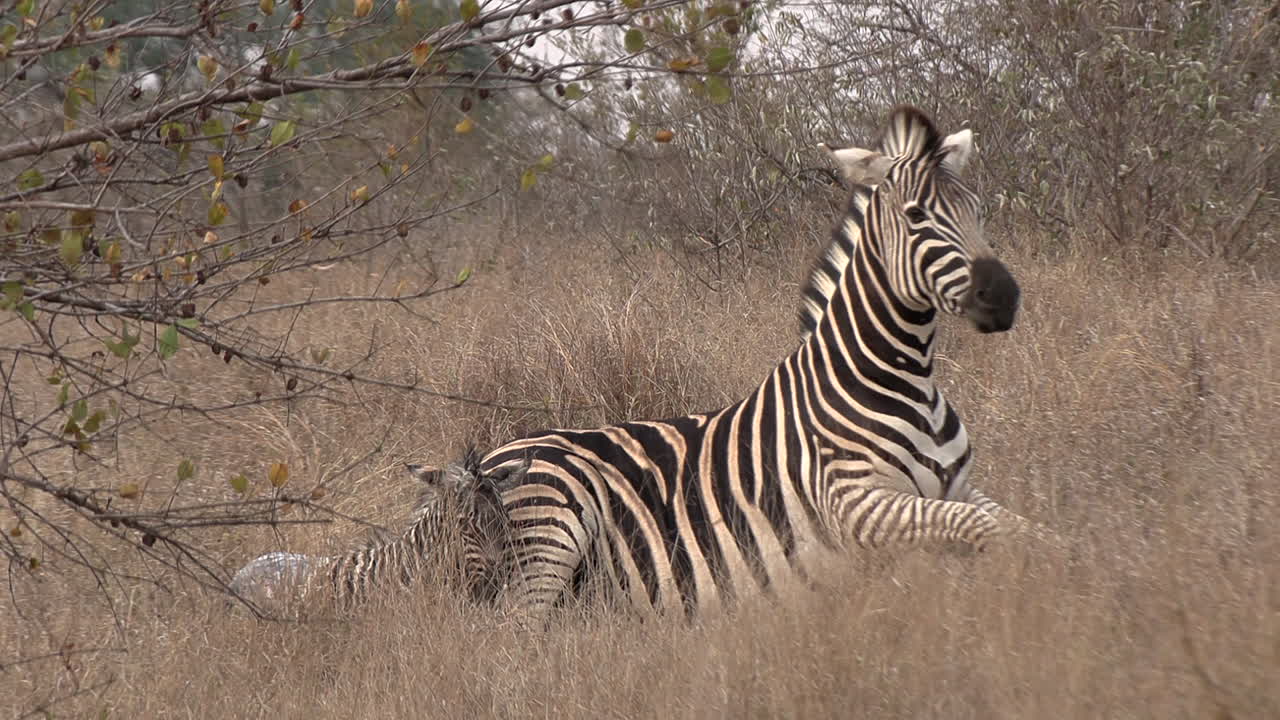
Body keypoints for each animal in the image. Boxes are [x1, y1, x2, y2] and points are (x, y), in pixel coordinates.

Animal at [477, 106, 1027, 626]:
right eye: (916, 216)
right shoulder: (855, 505)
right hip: (552, 520)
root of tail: (486, 457)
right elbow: (991, 529)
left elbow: (1027, 528)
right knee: (514, 631)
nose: (1004, 297)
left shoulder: (961, 487)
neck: (902, 375)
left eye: (977, 210)